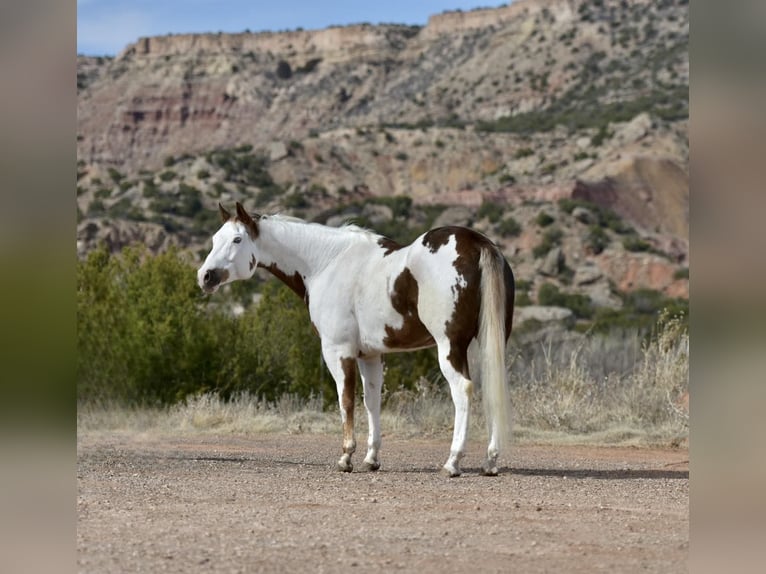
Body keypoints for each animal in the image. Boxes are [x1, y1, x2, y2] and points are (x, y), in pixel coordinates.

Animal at [201, 202, 520, 476]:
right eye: (215, 238)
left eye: (237, 240)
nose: (205, 277)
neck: (326, 263)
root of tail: (477, 243)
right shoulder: (371, 355)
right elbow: (371, 400)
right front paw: (371, 458)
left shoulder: (338, 351)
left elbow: (346, 400)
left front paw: (346, 457)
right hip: (487, 345)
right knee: (491, 388)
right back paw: (490, 461)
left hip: (449, 347)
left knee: (462, 390)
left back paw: (453, 462)